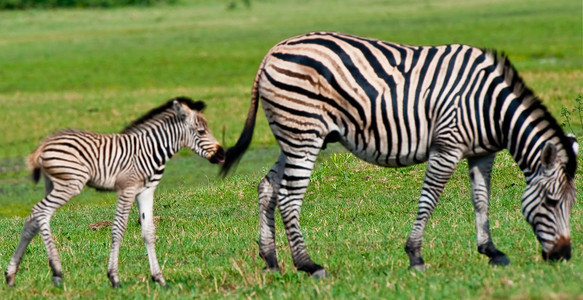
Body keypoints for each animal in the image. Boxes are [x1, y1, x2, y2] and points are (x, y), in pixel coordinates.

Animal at [6, 96, 226, 288]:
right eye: (201, 131)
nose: (222, 154)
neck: (151, 149)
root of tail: (43, 145)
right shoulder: (127, 189)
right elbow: (118, 230)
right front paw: (114, 278)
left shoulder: (146, 191)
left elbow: (148, 232)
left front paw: (159, 278)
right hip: (70, 183)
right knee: (41, 212)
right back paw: (57, 272)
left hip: (53, 184)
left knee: (33, 219)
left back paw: (11, 275)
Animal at [222, 31, 580, 278]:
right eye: (551, 202)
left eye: (572, 203)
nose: (563, 255)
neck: (491, 107)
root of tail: (271, 52)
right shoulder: (447, 145)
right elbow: (430, 198)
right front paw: (415, 256)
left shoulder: (482, 153)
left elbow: (481, 199)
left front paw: (491, 251)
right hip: (304, 134)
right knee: (288, 197)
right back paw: (308, 265)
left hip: (295, 136)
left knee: (267, 187)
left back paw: (271, 261)